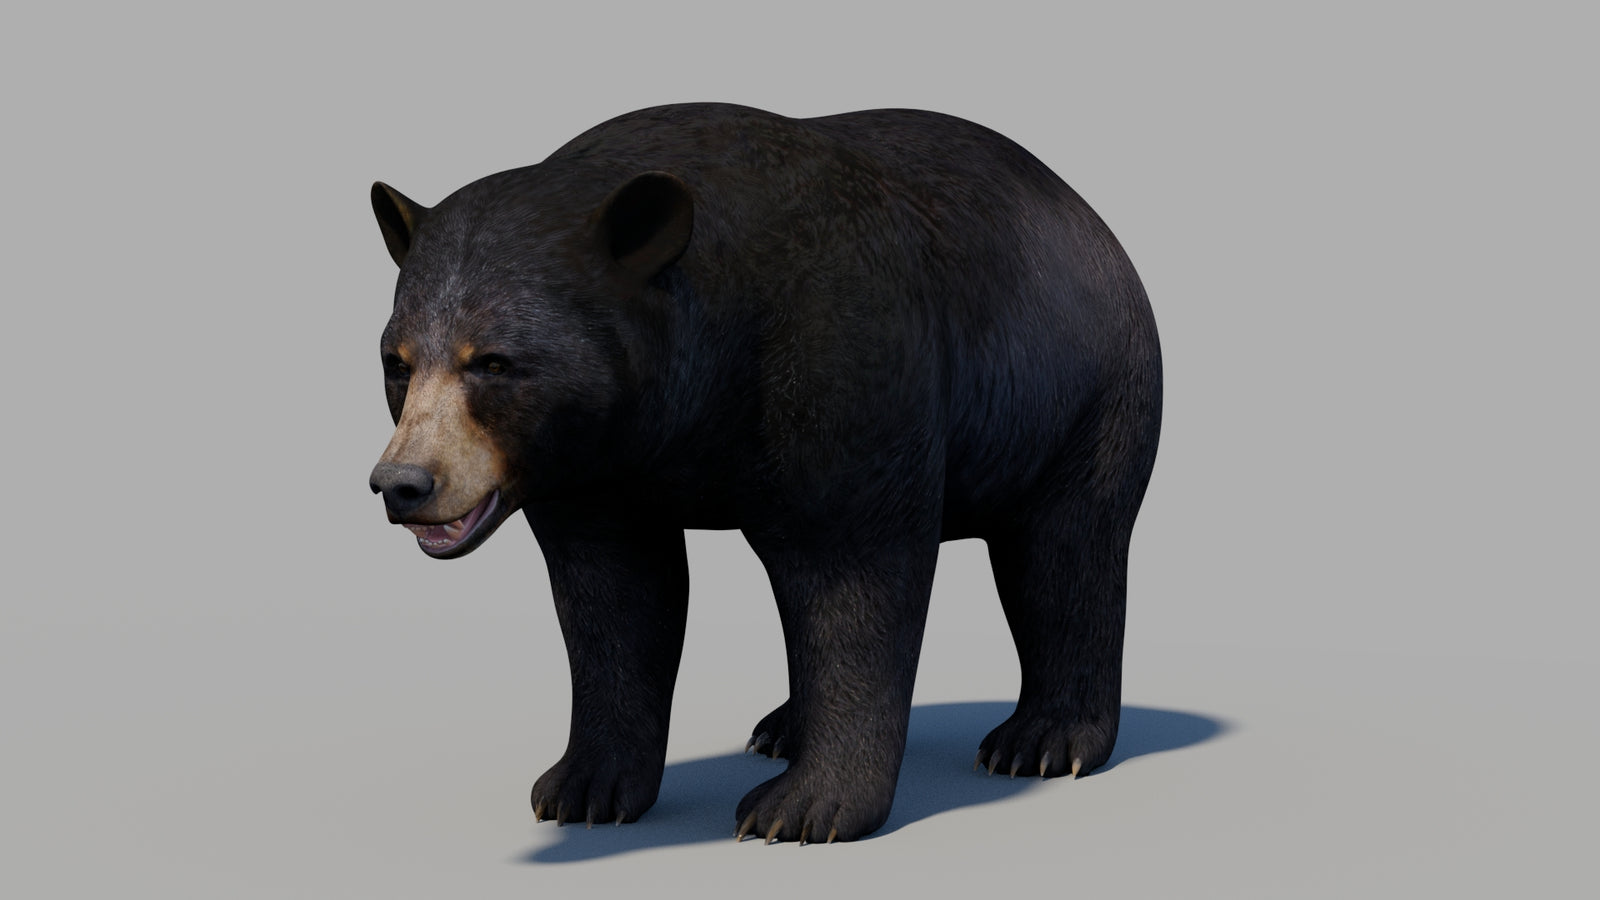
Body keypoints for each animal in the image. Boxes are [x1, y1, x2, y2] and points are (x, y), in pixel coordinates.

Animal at [368, 103, 1161, 844]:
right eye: (397, 363)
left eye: (494, 362)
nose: (404, 483)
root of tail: (1094, 219)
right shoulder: (596, 463)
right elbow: (613, 595)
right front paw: (584, 788)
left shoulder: (839, 357)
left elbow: (853, 576)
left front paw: (806, 807)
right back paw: (782, 727)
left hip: (1083, 392)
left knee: (1065, 552)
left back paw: (1043, 739)